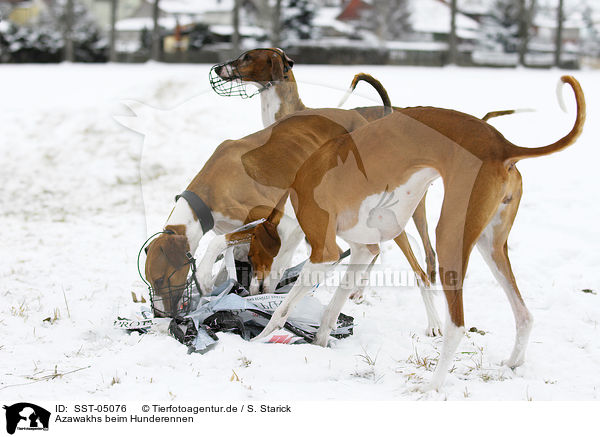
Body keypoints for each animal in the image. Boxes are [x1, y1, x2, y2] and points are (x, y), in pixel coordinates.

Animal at [248, 74, 584, 388]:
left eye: (250, 258)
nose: (252, 291)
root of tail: (503, 145)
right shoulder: (362, 251)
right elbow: (332, 309)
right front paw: (319, 344)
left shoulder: (325, 254)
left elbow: (283, 310)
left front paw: (259, 341)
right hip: (490, 245)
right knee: (524, 315)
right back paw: (513, 362)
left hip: (448, 236)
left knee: (457, 325)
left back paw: (432, 386)